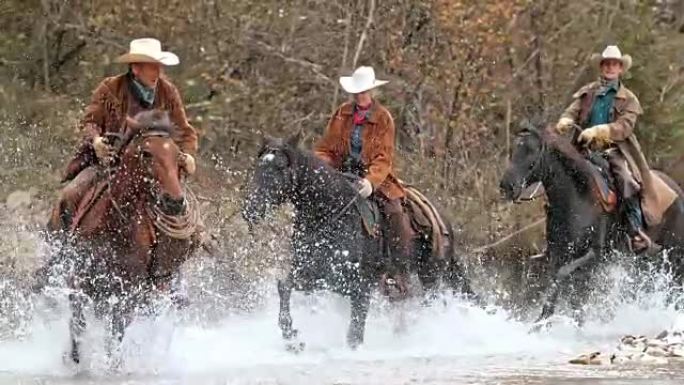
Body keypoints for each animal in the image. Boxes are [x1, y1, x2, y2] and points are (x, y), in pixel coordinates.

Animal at [43, 109, 200, 364]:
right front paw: (74, 360)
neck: (115, 229)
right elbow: (77, 326)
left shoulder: (127, 296)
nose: (175, 202)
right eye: (146, 153)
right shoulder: (78, 282)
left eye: (178, 156)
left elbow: (115, 337)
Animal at [240, 134, 470, 348]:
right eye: (258, 166)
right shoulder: (313, 275)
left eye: (280, 167)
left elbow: (355, 331)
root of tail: (443, 220)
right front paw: (291, 336)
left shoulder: (360, 284)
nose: (250, 209)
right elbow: (285, 286)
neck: (329, 215)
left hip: (430, 275)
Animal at [496, 124, 684, 322]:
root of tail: (676, 190)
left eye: (531, 151)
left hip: (674, 255)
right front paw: (546, 318)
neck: (578, 198)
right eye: (514, 150)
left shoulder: (593, 255)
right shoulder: (558, 253)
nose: (506, 186)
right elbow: (563, 286)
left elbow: (563, 277)